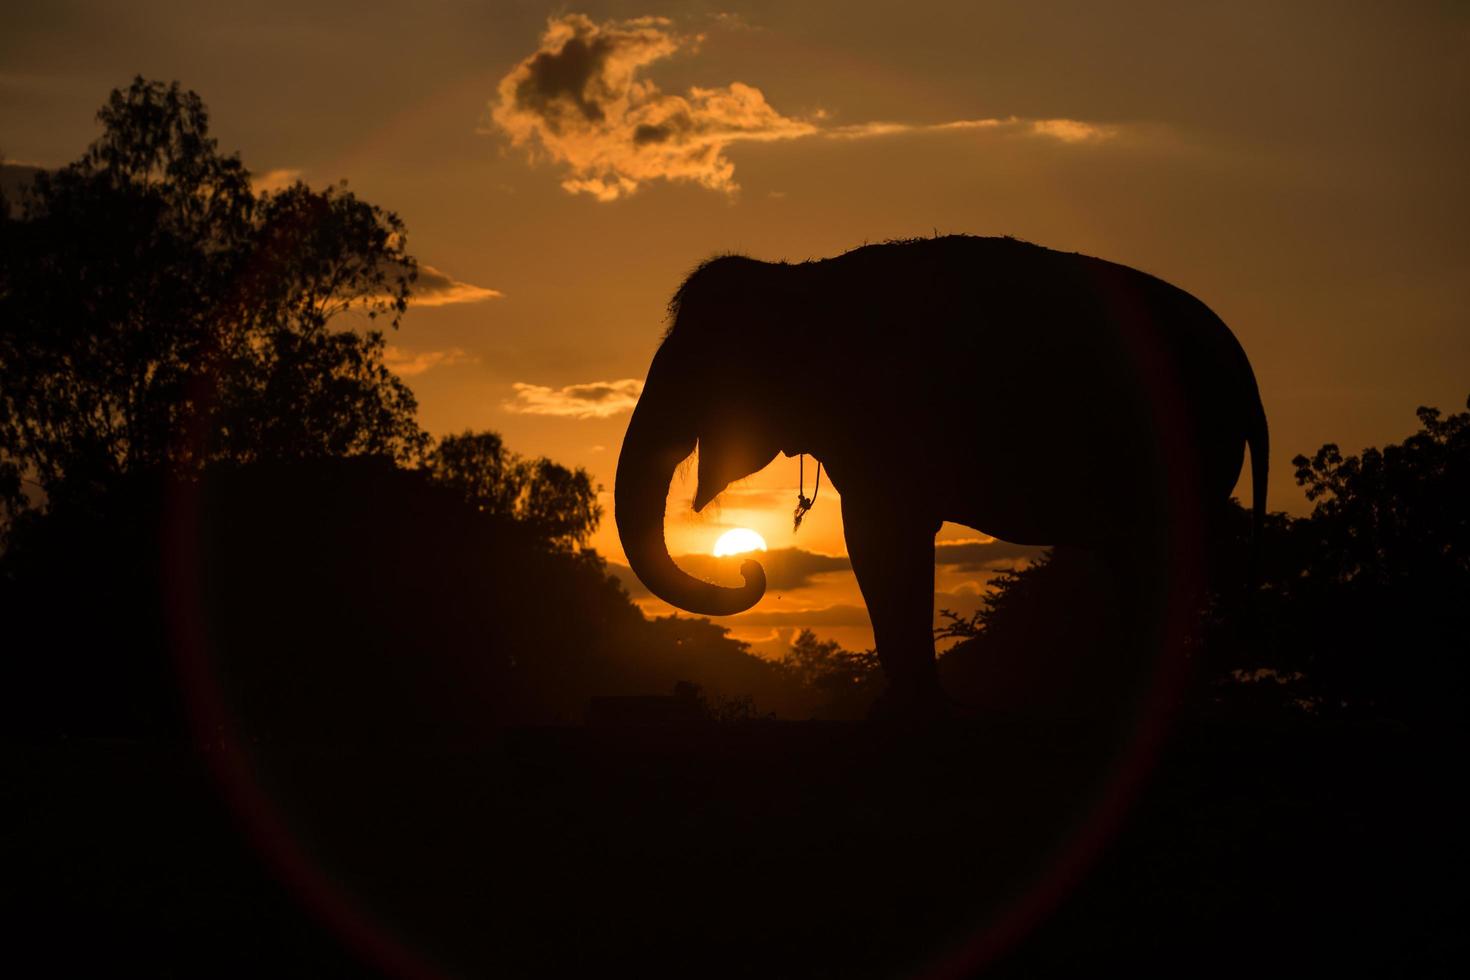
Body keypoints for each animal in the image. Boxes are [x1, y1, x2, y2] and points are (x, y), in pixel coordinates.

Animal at [614, 238, 1270, 714]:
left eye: (697, 372)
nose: (750, 567)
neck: (804, 280)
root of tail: (1243, 366)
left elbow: (879, 536)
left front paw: (909, 713)